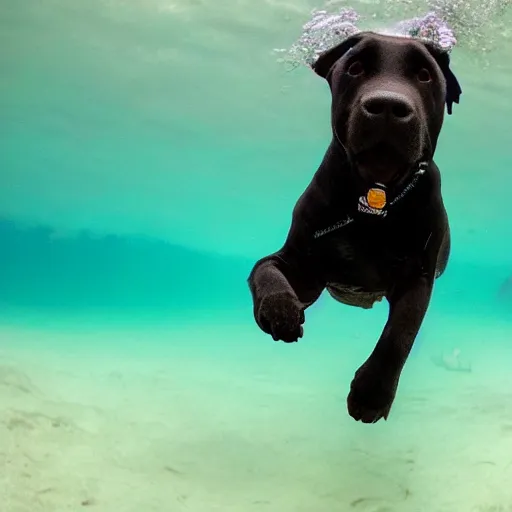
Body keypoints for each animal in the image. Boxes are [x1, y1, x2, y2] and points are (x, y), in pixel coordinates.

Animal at [247, 33, 460, 424]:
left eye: (424, 75)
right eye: (356, 68)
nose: (388, 106)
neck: (374, 198)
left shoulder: (418, 278)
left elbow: (400, 333)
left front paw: (371, 395)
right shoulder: (300, 267)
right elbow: (266, 273)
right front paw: (280, 313)